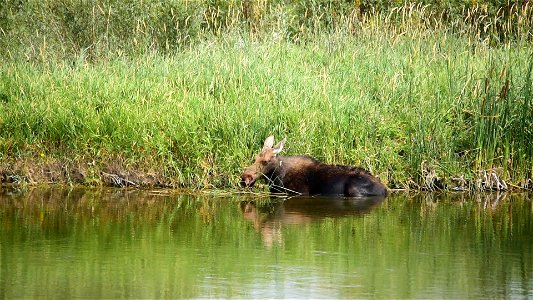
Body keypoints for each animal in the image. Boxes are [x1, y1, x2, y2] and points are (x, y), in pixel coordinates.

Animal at [241, 136, 386, 197]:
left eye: (265, 161)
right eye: (255, 158)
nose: (244, 178)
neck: (276, 177)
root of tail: (385, 190)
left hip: (354, 190)